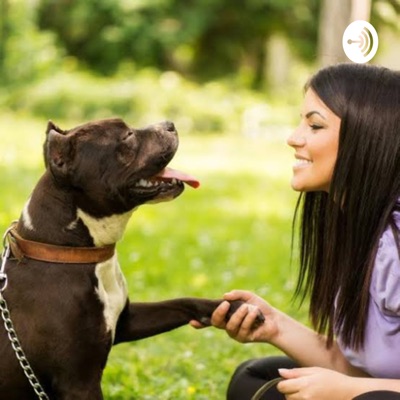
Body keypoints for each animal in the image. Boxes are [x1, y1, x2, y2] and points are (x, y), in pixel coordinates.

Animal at [0, 119, 262, 400]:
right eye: (127, 137)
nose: (169, 123)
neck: (67, 251)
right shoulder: (79, 382)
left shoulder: (127, 320)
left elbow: (181, 302)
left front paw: (236, 308)